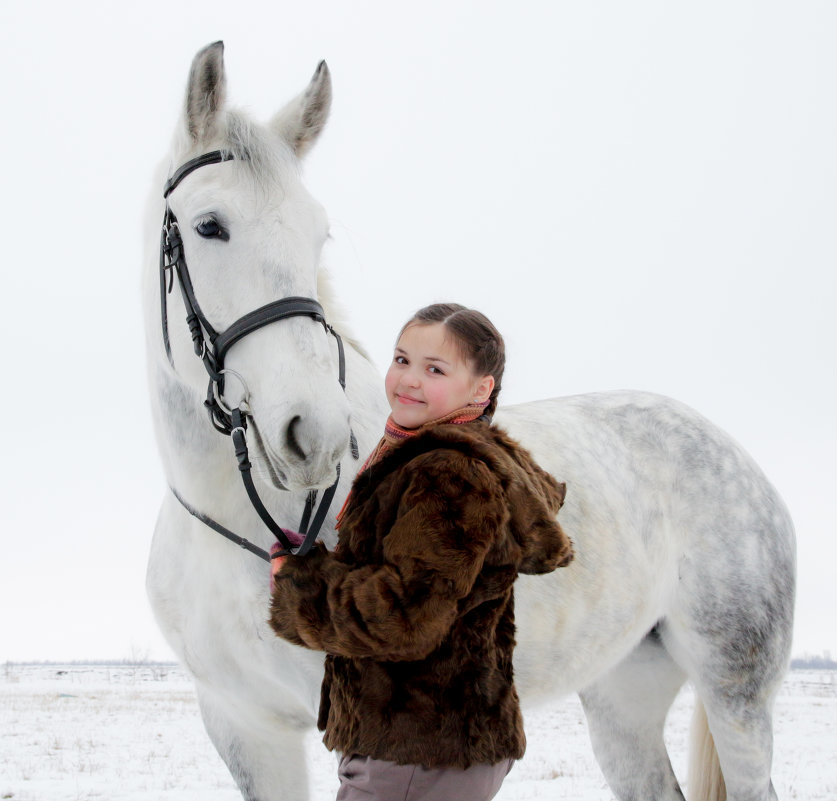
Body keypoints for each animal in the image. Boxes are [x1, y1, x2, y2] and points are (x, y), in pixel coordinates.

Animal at [145, 42, 796, 800]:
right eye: (208, 225)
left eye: (319, 234)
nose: (314, 432)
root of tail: (731, 452)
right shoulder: (243, 725)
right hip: (623, 697)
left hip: (735, 691)